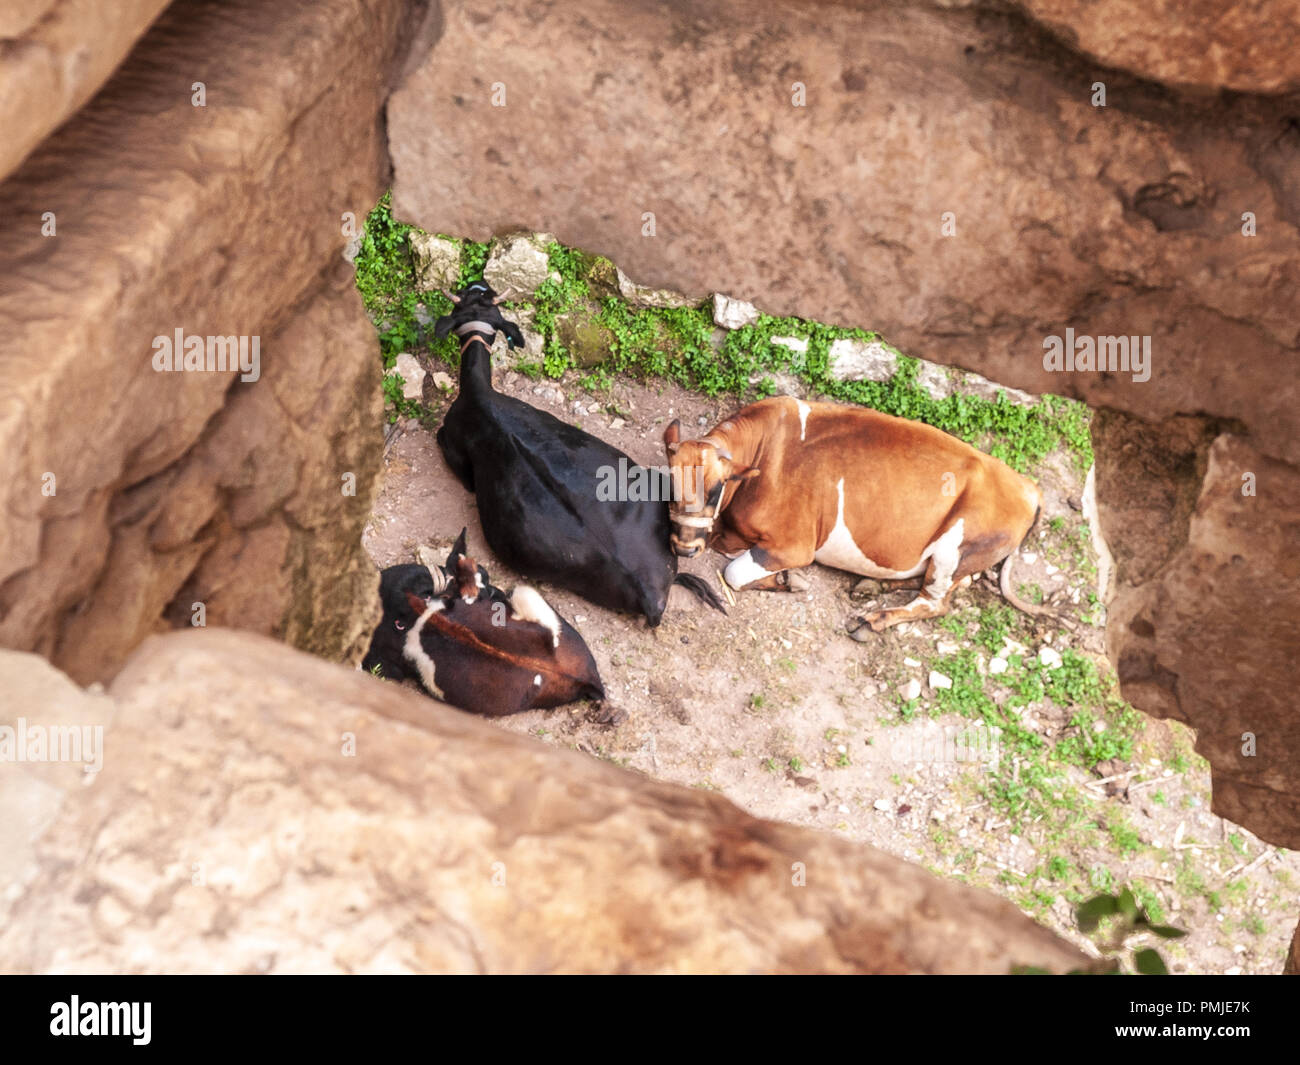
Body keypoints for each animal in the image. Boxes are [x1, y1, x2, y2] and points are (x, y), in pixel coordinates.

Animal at [665, 397, 1050, 631]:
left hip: (954, 550)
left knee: (935, 602)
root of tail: (1028, 487)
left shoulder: (795, 546)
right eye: (669, 484)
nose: (684, 548)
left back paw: (870, 620)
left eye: (715, 488)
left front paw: (789, 580)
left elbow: (732, 572)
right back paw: (870, 585)